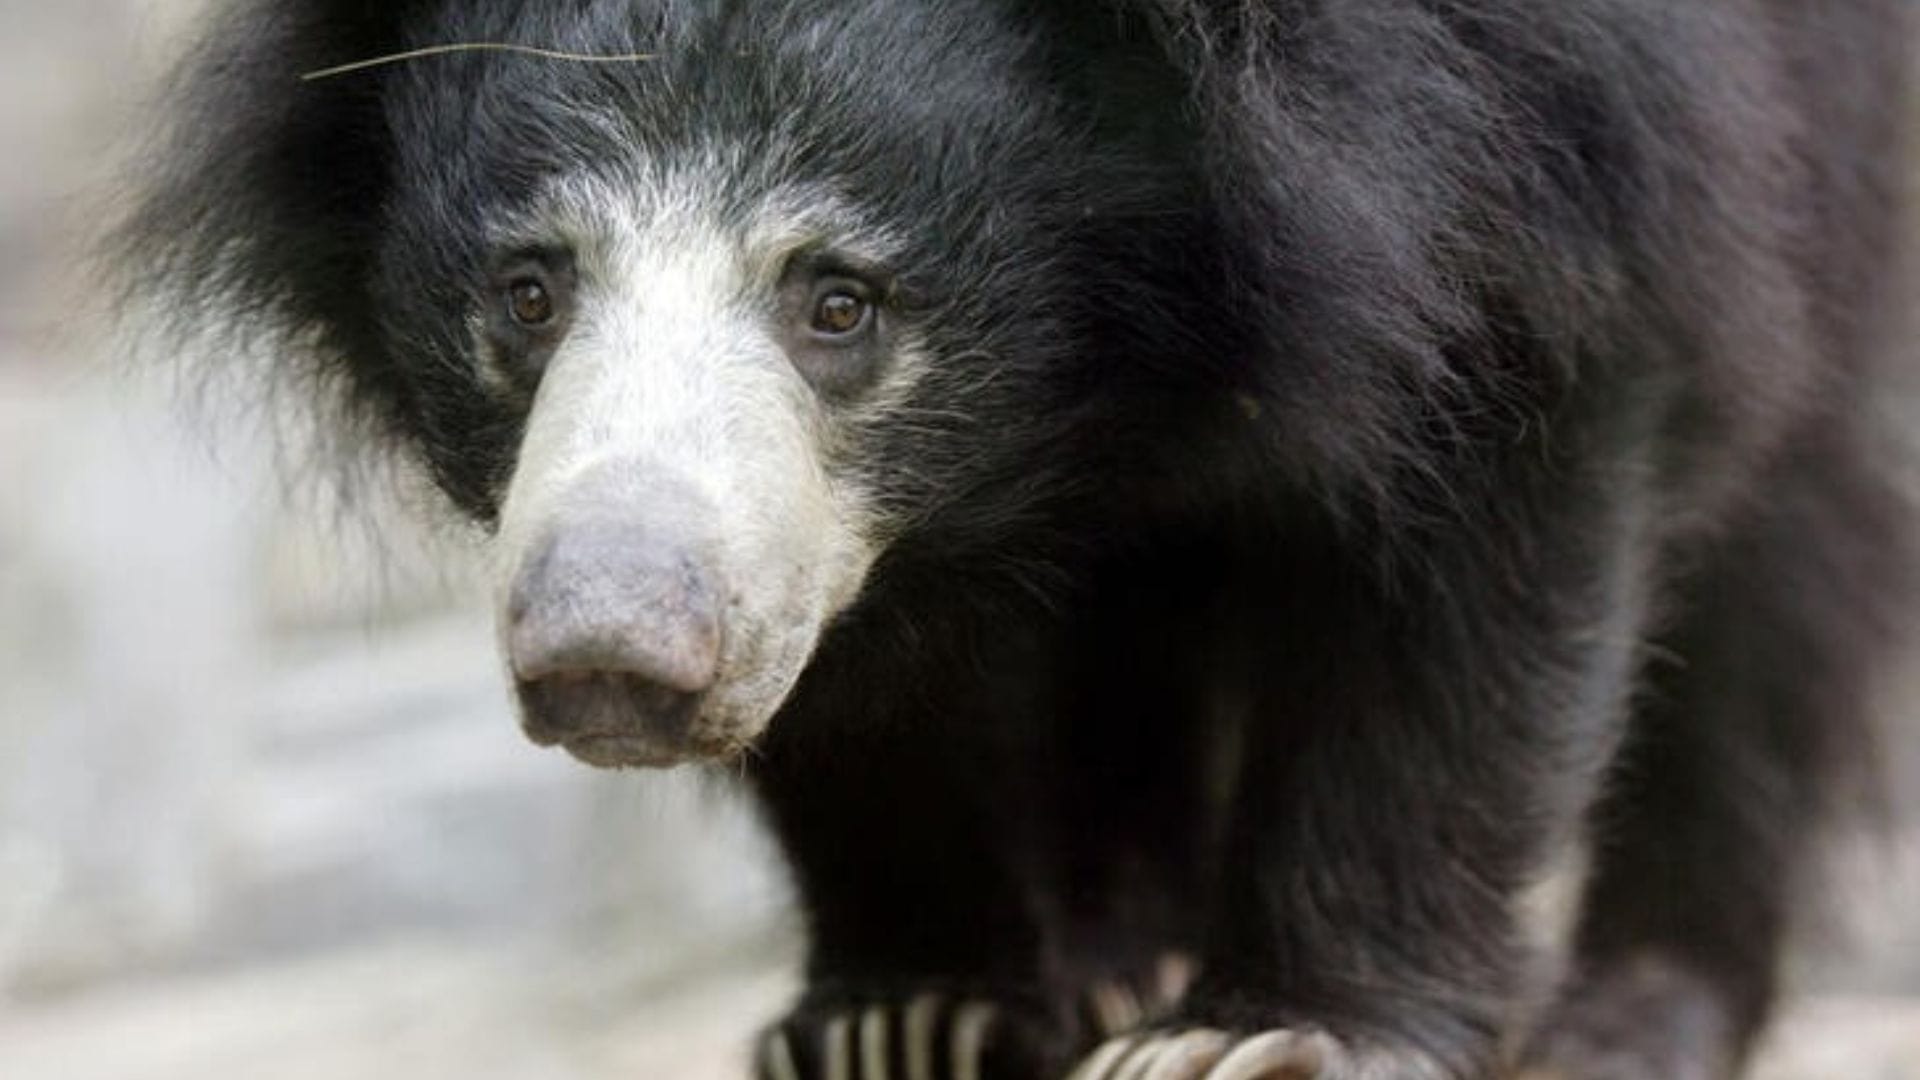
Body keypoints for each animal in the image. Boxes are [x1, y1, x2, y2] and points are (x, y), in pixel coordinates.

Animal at [114, 1, 1915, 1078]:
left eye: (840, 302)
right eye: (531, 290)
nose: (611, 655)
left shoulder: (1556, 128)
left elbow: (1491, 512)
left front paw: (1270, 1040)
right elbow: (864, 684)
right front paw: (914, 1012)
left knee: (1784, 564)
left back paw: (1638, 1012)